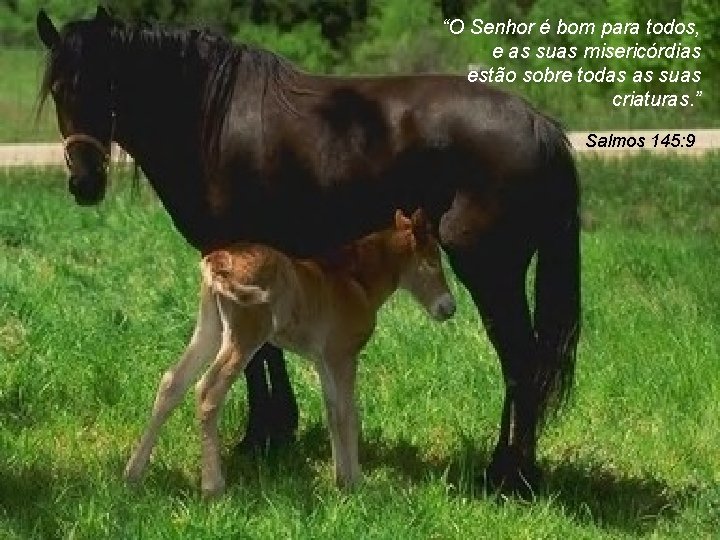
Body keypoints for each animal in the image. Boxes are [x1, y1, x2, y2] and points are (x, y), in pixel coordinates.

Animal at [122, 209, 456, 496]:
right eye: (431, 261)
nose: (449, 307)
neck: (354, 280)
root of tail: (217, 259)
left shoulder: (323, 360)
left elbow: (333, 411)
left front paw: (341, 480)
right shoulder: (343, 355)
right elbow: (349, 413)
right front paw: (357, 482)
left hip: (211, 329)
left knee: (172, 382)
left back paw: (133, 474)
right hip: (245, 334)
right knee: (208, 390)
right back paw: (213, 487)